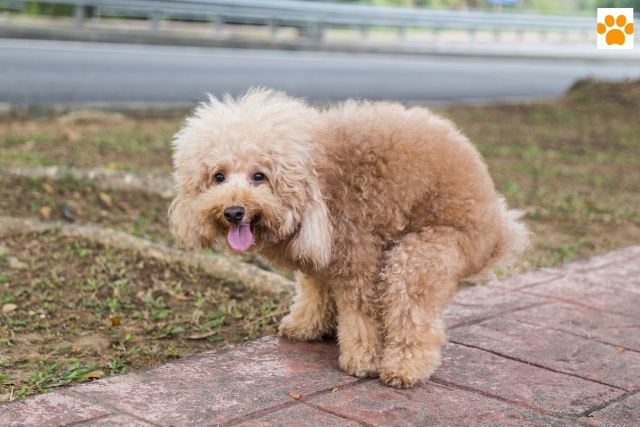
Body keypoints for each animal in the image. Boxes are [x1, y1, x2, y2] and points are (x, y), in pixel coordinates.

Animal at [169, 88, 528, 390]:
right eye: (218, 176)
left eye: (259, 176)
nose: (233, 212)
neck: (319, 175)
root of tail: (498, 231)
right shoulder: (318, 257)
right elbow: (314, 291)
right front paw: (306, 326)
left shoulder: (358, 258)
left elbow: (361, 314)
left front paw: (362, 360)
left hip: (424, 252)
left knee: (412, 312)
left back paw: (404, 368)